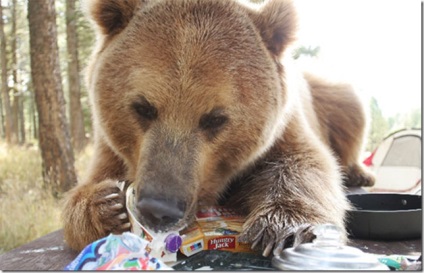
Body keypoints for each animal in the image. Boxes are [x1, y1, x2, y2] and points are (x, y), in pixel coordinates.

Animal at [63, 0, 374, 258]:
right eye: (143, 107)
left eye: (215, 118)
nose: (159, 208)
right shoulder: (111, 144)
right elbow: (93, 183)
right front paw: (107, 206)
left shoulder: (285, 126)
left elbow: (307, 164)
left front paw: (284, 228)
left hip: (328, 96)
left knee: (350, 106)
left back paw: (359, 172)